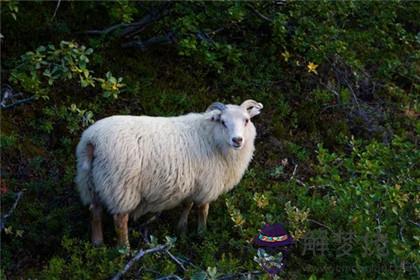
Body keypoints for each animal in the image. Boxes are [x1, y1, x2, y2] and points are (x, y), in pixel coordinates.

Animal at [74, 99, 260, 246]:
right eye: (223, 122)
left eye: (246, 120)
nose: (237, 140)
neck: (211, 137)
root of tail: (92, 141)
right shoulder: (207, 184)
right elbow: (203, 209)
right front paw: (202, 233)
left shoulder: (192, 182)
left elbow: (187, 204)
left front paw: (182, 229)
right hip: (120, 186)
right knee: (120, 220)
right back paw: (124, 249)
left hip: (90, 181)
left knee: (95, 211)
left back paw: (97, 243)